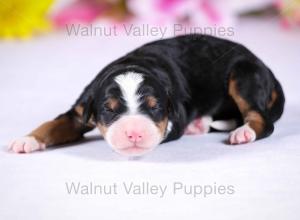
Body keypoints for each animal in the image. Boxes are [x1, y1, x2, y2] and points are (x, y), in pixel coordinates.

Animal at [8, 34, 284, 156]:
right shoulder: (79, 111)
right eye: (108, 109)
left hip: (243, 75)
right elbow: (52, 124)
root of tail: (265, 67)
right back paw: (200, 124)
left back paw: (243, 133)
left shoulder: (174, 114)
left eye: (155, 107)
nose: (134, 133)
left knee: (260, 119)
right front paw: (28, 139)